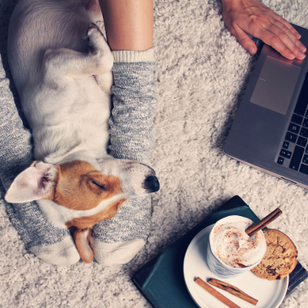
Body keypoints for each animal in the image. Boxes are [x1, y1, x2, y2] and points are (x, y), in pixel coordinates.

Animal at [4, 0, 159, 262]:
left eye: (97, 183)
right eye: (115, 209)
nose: (153, 183)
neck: (75, 137)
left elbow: (106, 71)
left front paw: (97, 45)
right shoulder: (54, 61)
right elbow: (103, 61)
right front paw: (96, 39)